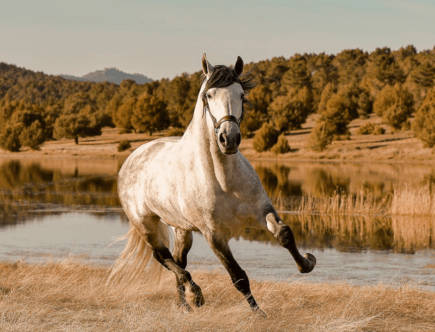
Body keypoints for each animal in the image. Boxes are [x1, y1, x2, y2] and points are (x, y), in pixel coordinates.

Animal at [110, 53, 316, 314]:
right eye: (208, 95)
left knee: (177, 259)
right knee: (163, 257)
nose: (229, 139)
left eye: (241, 94)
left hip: (182, 229)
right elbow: (238, 277)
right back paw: (195, 295)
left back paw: (184, 305)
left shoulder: (261, 212)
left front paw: (307, 262)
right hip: (145, 224)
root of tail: (132, 158)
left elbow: (285, 234)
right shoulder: (214, 236)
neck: (223, 179)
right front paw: (260, 315)